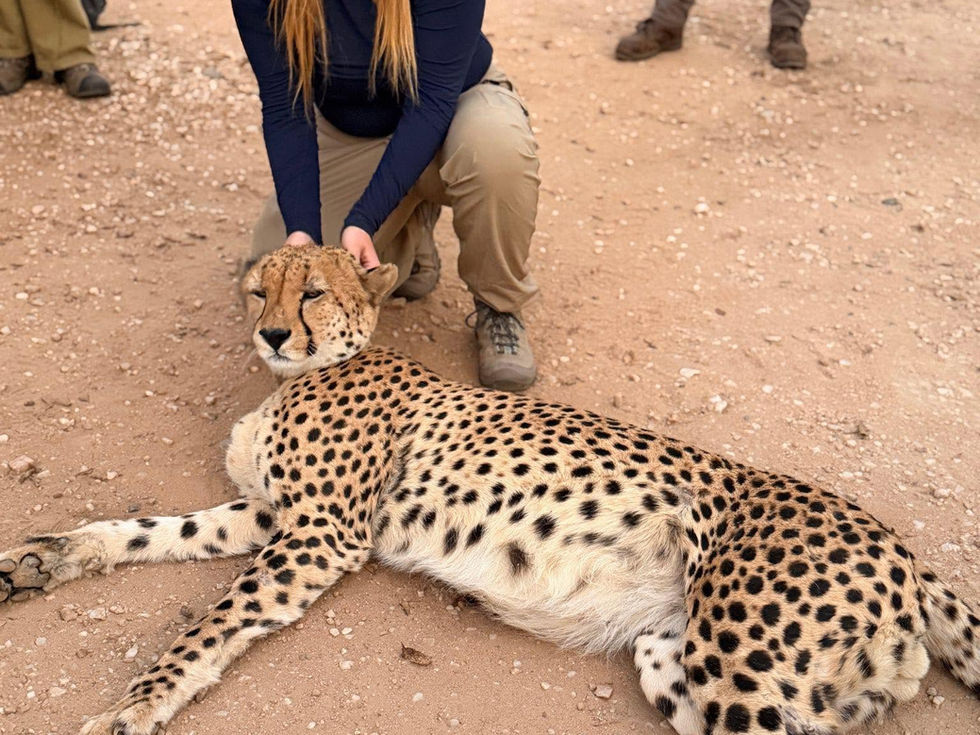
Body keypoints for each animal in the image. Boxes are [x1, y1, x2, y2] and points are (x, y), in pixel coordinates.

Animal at [1, 244, 977, 735]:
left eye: (311, 291)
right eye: (256, 291)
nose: (272, 334)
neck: (309, 371)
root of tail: (897, 542)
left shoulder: (318, 534)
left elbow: (206, 623)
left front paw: (134, 705)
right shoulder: (270, 514)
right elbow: (143, 530)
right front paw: (39, 562)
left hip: (738, 658)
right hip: (675, 655)